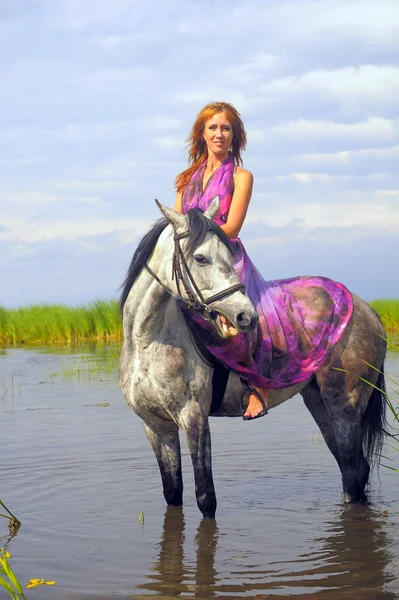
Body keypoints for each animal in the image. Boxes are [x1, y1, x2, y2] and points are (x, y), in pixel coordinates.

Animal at [119, 199, 388, 516]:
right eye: (200, 258)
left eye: (230, 255)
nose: (245, 316)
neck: (147, 341)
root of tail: (366, 309)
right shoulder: (156, 427)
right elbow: (172, 493)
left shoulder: (193, 417)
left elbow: (205, 497)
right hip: (318, 401)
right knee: (352, 468)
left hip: (345, 403)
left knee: (353, 470)